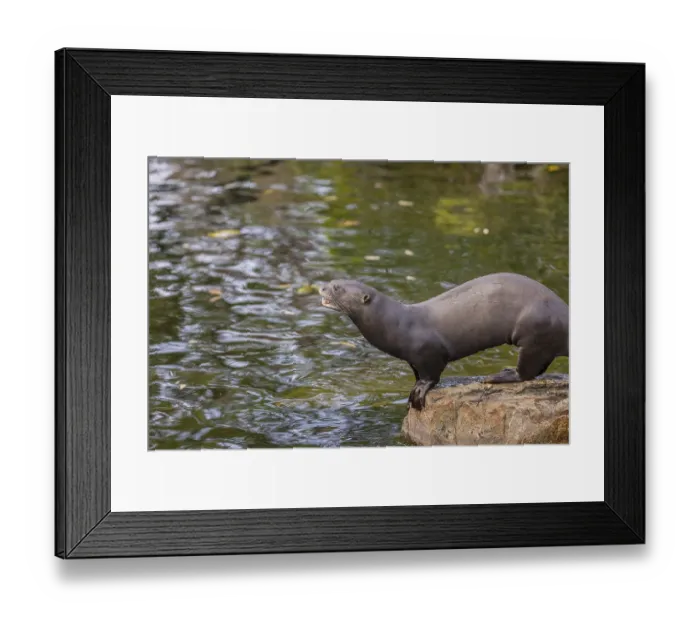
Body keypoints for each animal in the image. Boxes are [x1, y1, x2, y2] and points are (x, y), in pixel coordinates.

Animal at [318, 273, 569, 411]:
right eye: (333, 280)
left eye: (337, 288)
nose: (321, 286)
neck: (396, 324)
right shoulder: (412, 359)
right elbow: (417, 374)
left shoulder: (429, 351)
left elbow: (432, 376)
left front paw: (419, 392)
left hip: (536, 329)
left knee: (527, 370)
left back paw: (500, 376)